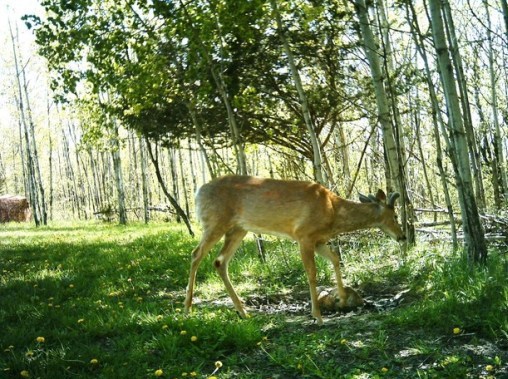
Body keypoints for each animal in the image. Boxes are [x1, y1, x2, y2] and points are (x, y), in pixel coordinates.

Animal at [183, 176, 404, 326]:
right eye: (395, 216)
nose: (402, 236)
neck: (333, 212)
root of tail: (198, 192)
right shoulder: (304, 235)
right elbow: (312, 273)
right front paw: (318, 316)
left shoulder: (318, 240)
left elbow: (335, 258)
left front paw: (341, 298)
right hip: (215, 221)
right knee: (196, 254)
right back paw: (187, 308)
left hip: (239, 228)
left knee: (219, 262)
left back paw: (243, 312)